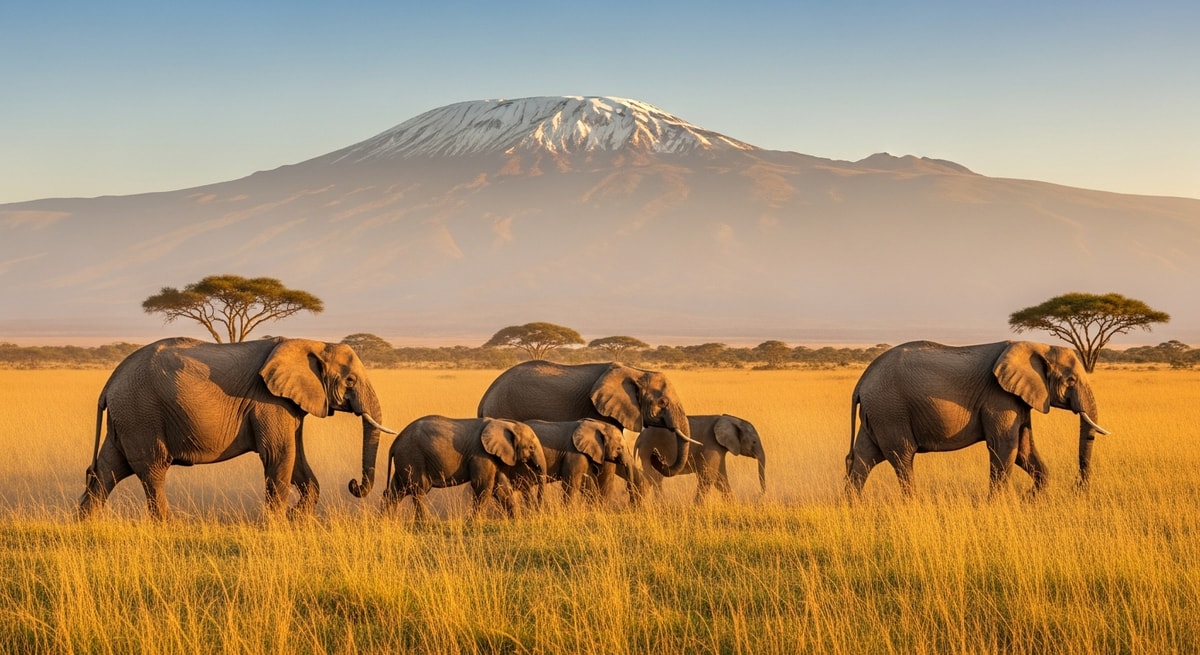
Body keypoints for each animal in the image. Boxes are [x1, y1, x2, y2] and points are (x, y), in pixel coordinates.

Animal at [78, 336, 396, 520]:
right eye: (350, 380)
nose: (353, 484)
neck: (315, 342)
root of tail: (110, 382)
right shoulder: (268, 400)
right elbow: (280, 455)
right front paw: (277, 526)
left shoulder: (289, 403)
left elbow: (296, 460)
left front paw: (296, 518)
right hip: (141, 414)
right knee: (152, 471)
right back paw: (167, 527)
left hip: (127, 418)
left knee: (108, 470)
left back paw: (86, 525)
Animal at [381, 415, 547, 521]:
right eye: (531, 448)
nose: (537, 512)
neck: (503, 423)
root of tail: (395, 443)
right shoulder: (481, 453)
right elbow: (482, 485)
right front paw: (474, 522)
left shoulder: (493, 456)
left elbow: (500, 487)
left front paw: (516, 520)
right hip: (413, 456)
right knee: (418, 489)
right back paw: (428, 523)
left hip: (406, 459)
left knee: (397, 490)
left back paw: (387, 522)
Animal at [477, 361, 699, 484]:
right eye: (662, 403)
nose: (656, 456)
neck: (636, 371)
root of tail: (485, 397)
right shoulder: (597, 410)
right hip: (503, 410)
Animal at [636, 414, 767, 503]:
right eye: (754, 442)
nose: (758, 495)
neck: (730, 418)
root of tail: (639, 438)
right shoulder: (711, 445)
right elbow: (708, 476)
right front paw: (696, 507)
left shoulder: (718, 448)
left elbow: (720, 478)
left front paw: (733, 504)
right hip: (648, 449)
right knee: (654, 479)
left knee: (650, 479)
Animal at [846, 340, 1110, 497]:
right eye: (1071, 381)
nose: (1078, 488)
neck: (1037, 346)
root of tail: (862, 381)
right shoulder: (999, 397)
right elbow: (1005, 447)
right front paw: (999, 506)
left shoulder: (1019, 399)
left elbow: (1024, 450)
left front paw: (1030, 500)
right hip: (890, 410)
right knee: (902, 458)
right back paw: (912, 504)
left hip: (878, 413)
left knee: (863, 458)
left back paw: (853, 507)